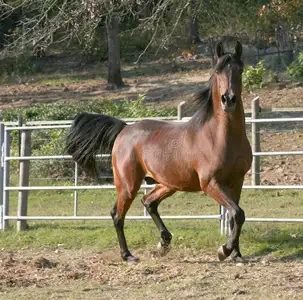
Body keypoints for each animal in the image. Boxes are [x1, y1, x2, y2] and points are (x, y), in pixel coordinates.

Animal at [67, 40, 254, 262]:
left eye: (240, 70)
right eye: (217, 70)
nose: (229, 99)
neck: (218, 137)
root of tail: (124, 129)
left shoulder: (237, 181)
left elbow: (236, 216)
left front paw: (237, 254)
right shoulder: (210, 183)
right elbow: (237, 213)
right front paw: (224, 251)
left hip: (167, 184)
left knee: (148, 202)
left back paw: (164, 242)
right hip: (128, 185)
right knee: (118, 214)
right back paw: (127, 255)